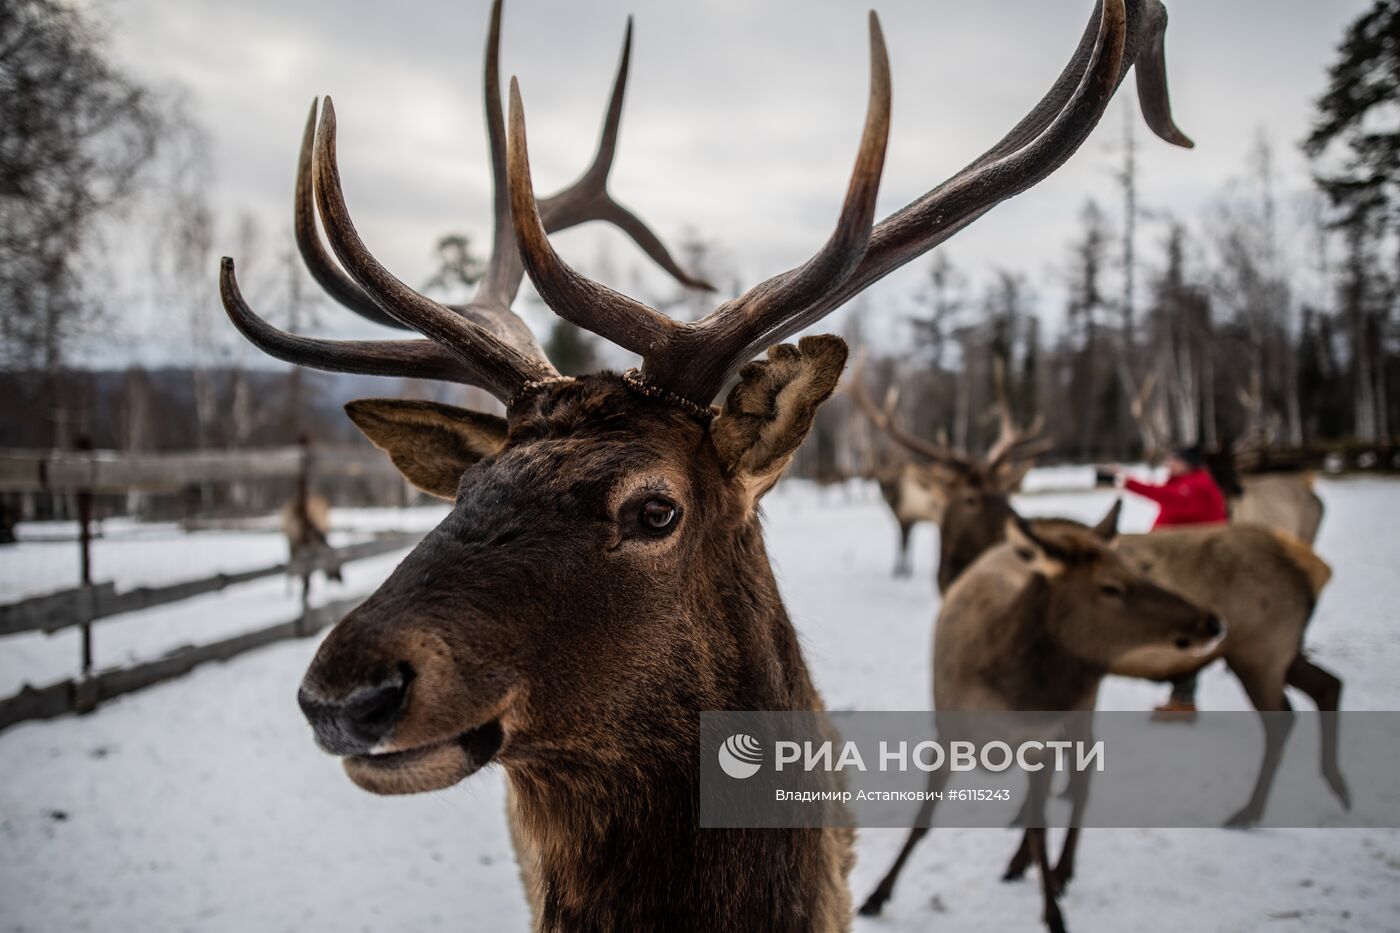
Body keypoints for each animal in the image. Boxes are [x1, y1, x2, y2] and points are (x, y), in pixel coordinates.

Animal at [851, 501, 1226, 930]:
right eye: (1111, 587)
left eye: (1140, 570)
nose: (1212, 621)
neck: (1010, 700)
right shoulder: (947, 733)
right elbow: (922, 820)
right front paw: (876, 896)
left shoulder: (1042, 741)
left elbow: (1040, 822)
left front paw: (1053, 913)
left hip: (1082, 709)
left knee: (1080, 778)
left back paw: (1058, 869)